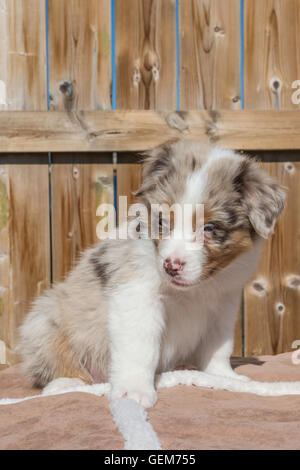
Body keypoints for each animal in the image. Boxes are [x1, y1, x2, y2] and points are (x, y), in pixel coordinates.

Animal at [18, 140, 286, 408]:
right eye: (161, 221)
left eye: (209, 228)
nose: (171, 266)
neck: (195, 290)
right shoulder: (137, 295)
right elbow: (140, 348)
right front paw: (133, 392)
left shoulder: (223, 304)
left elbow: (218, 347)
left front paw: (223, 377)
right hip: (44, 320)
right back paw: (66, 384)